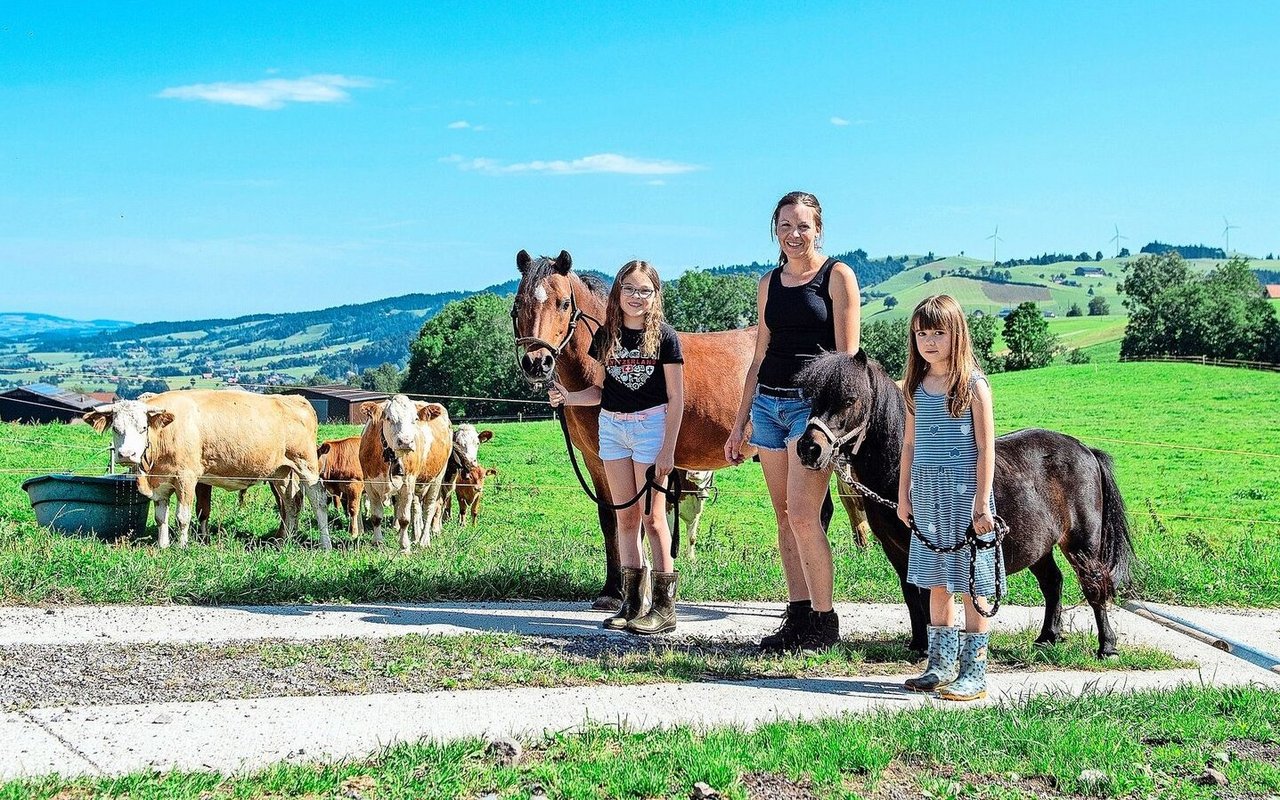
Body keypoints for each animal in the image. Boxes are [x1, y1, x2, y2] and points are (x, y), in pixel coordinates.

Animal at [83, 389, 330, 547]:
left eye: (143, 427)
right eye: (116, 428)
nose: (126, 455)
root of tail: (296, 399)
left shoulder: (186, 478)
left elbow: (182, 516)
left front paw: (181, 547)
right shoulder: (160, 483)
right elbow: (161, 517)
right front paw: (163, 546)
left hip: (306, 465)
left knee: (318, 501)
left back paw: (325, 545)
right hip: (281, 472)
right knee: (291, 504)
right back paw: (284, 542)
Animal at [358, 394, 453, 555]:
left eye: (415, 419)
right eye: (388, 418)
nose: (406, 441)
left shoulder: (407, 484)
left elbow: (404, 518)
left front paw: (404, 547)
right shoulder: (370, 484)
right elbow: (376, 517)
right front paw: (377, 543)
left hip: (437, 478)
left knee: (429, 509)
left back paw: (424, 540)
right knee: (416, 509)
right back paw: (416, 536)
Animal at [793, 353, 1136, 660]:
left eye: (849, 399)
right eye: (812, 399)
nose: (809, 449)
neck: (901, 473)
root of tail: (1085, 450)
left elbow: (927, 594)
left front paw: (930, 648)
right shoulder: (896, 549)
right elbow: (911, 594)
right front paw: (918, 645)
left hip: (1082, 543)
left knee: (1095, 587)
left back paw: (1107, 648)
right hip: (1038, 546)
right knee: (1053, 583)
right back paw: (1047, 638)